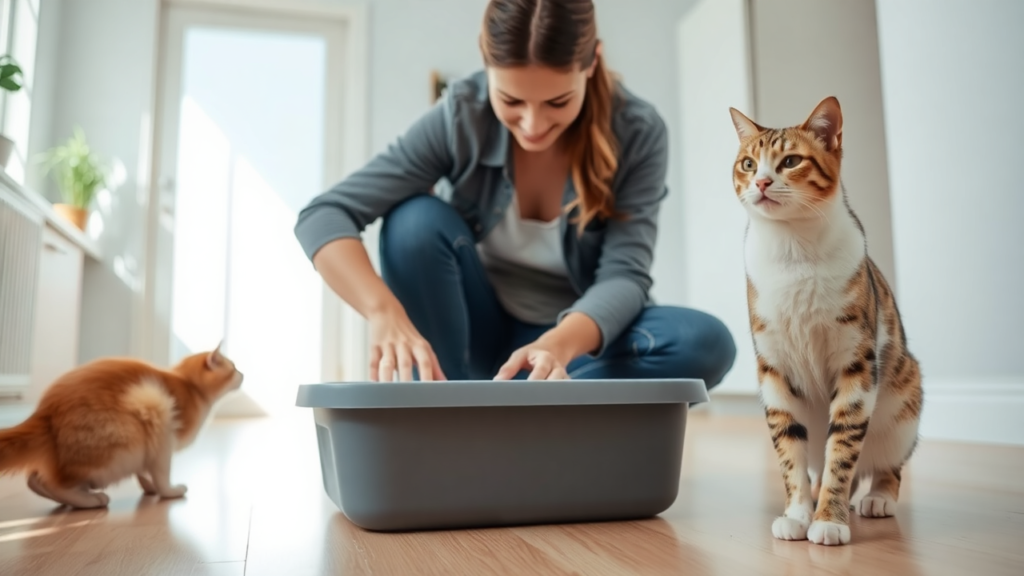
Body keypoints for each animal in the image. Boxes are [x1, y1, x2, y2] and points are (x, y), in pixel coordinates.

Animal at [0, 342, 241, 504]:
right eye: (234, 367)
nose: (243, 373)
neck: (190, 387)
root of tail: (44, 411)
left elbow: (145, 473)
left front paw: (150, 488)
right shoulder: (161, 427)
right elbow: (161, 473)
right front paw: (169, 492)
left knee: (34, 479)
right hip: (123, 445)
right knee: (51, 482)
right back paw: (89, 501)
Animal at [724, 97, 925, 541]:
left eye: (791, 161)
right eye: (748, 163)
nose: (761, 182)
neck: (792, 249)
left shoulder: (857, 363)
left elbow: (843, 447)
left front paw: (829, 521)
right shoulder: (774, 367)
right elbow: (788, 448)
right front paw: (799, 514)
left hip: (903, 405)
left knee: (885, 463)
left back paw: (876, 497)